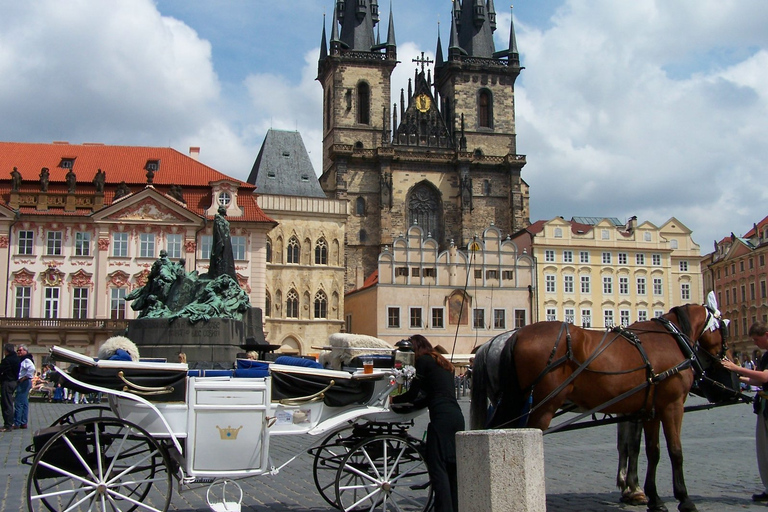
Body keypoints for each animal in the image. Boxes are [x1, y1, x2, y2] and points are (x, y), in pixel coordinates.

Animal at [468, 302, 732, 510]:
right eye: (724, 330)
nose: (726, 364)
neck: (670, 339)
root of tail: (510, 338)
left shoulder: (648, 408)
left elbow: (649, 450)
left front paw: (649, 496)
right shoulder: (671, 406)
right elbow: (672, 451)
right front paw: (680, 498)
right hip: (541, 407)